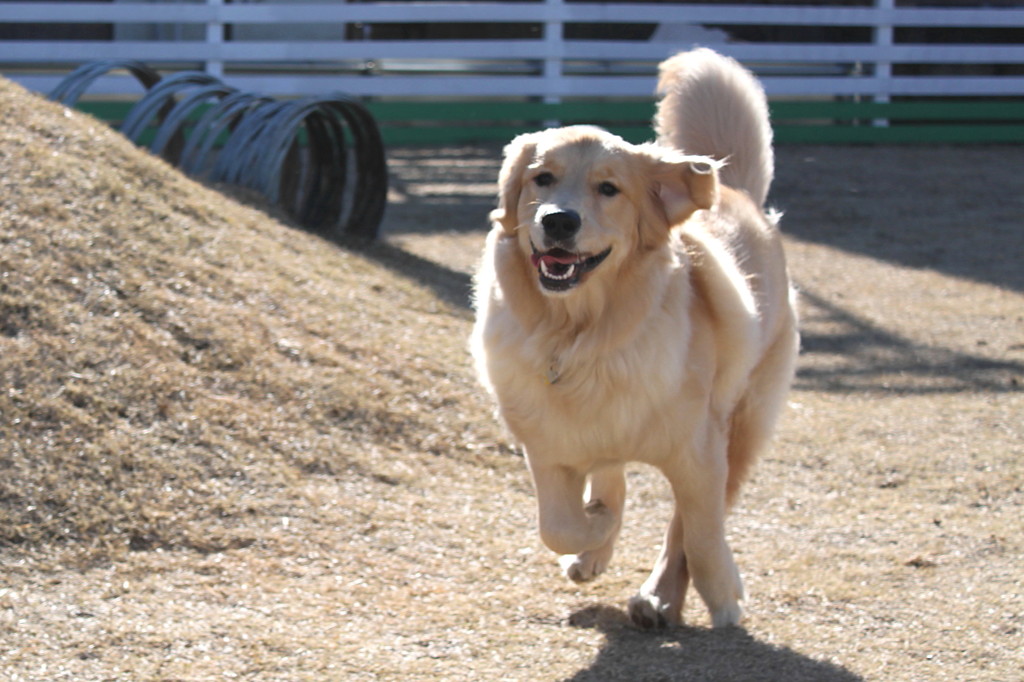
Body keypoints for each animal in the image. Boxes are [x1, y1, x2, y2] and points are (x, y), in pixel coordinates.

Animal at [471, 49, 798, 626]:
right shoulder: (547, 444)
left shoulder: (699, 449)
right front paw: (596, 528)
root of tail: (734, 186)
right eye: (542, 178)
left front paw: (723, 593)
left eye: (609, 189)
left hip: (743, 418)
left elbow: (701, 532)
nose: (559, 221)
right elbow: (558, 525)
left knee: (687, 524)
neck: (579, 336)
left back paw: (659, 596)